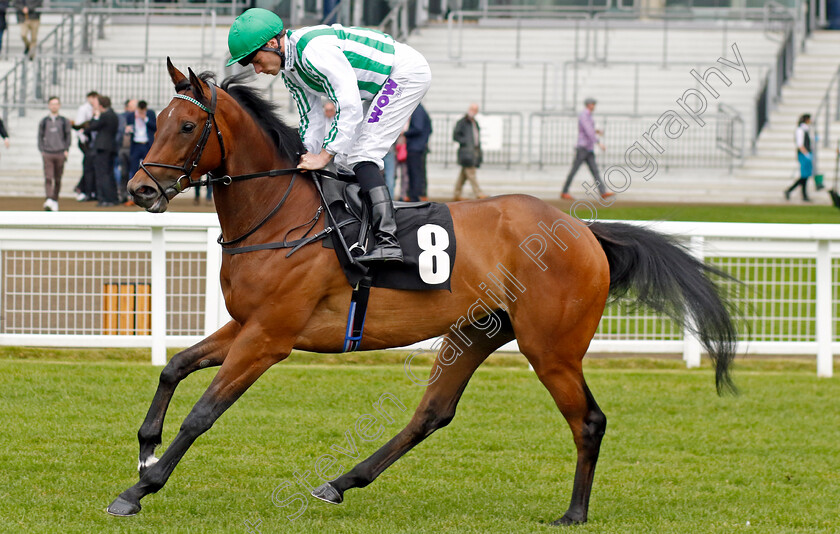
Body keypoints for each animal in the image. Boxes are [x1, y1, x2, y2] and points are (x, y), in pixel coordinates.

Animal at [105, 57, 736, 524]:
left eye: (188, 126)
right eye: (157, 120)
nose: (139, 189)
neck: (279, 217)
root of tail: (582, 230)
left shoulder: (269, 337)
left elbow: (203, 413)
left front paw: (140, 489)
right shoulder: (245, 323)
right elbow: (174, 367)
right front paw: (145, 449)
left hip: (551, 347)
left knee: (589, 420)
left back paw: (574, 513)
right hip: (474, 333)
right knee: (432, 412)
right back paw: (341, 481)